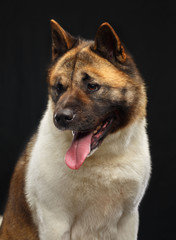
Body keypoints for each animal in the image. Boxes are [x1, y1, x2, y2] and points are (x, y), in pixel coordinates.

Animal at [0, 19, 151, 239]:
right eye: (59, 88)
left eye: (92, 86)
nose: (61, 117)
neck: (101, 159)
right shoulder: (55, 222)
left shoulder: (128, 220)